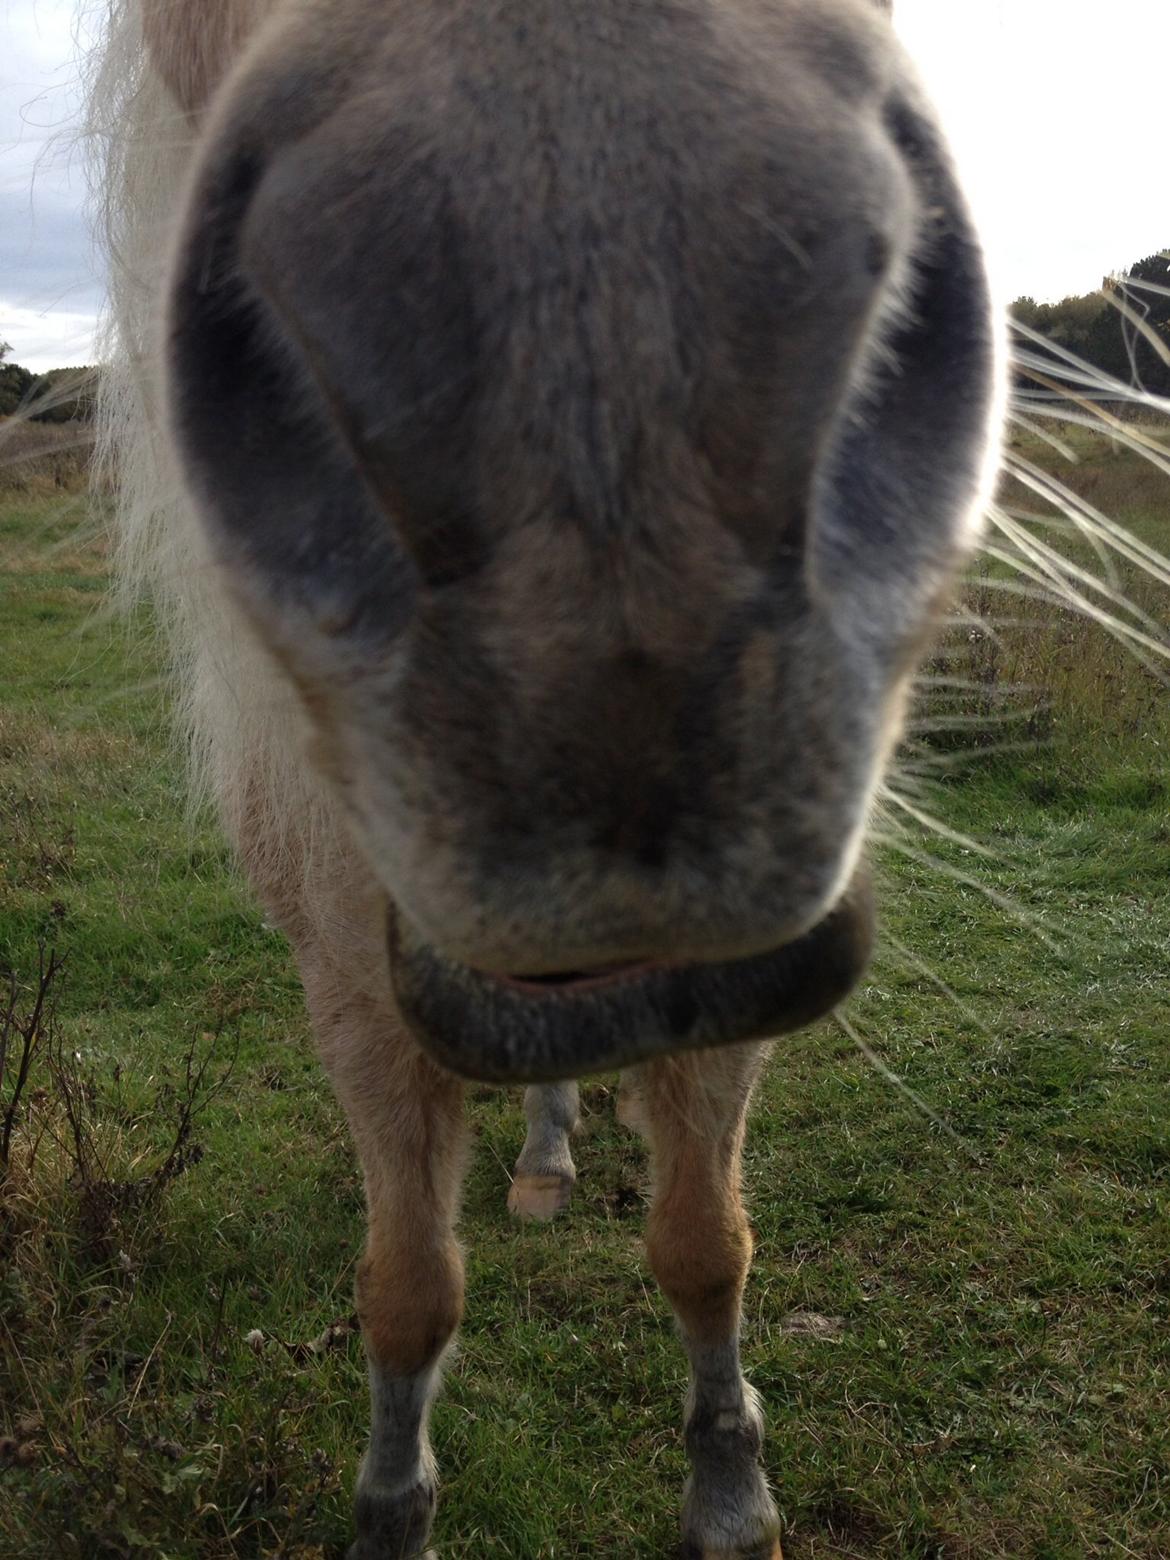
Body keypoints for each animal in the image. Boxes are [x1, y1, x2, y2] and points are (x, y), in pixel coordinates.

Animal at [89, 0, 1010, 1547]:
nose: (606, 434)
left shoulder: (724, 1002)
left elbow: (706, 1247)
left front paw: (730, 1498)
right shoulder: (348, 998)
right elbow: (405, 1293)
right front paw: (390, 1510)